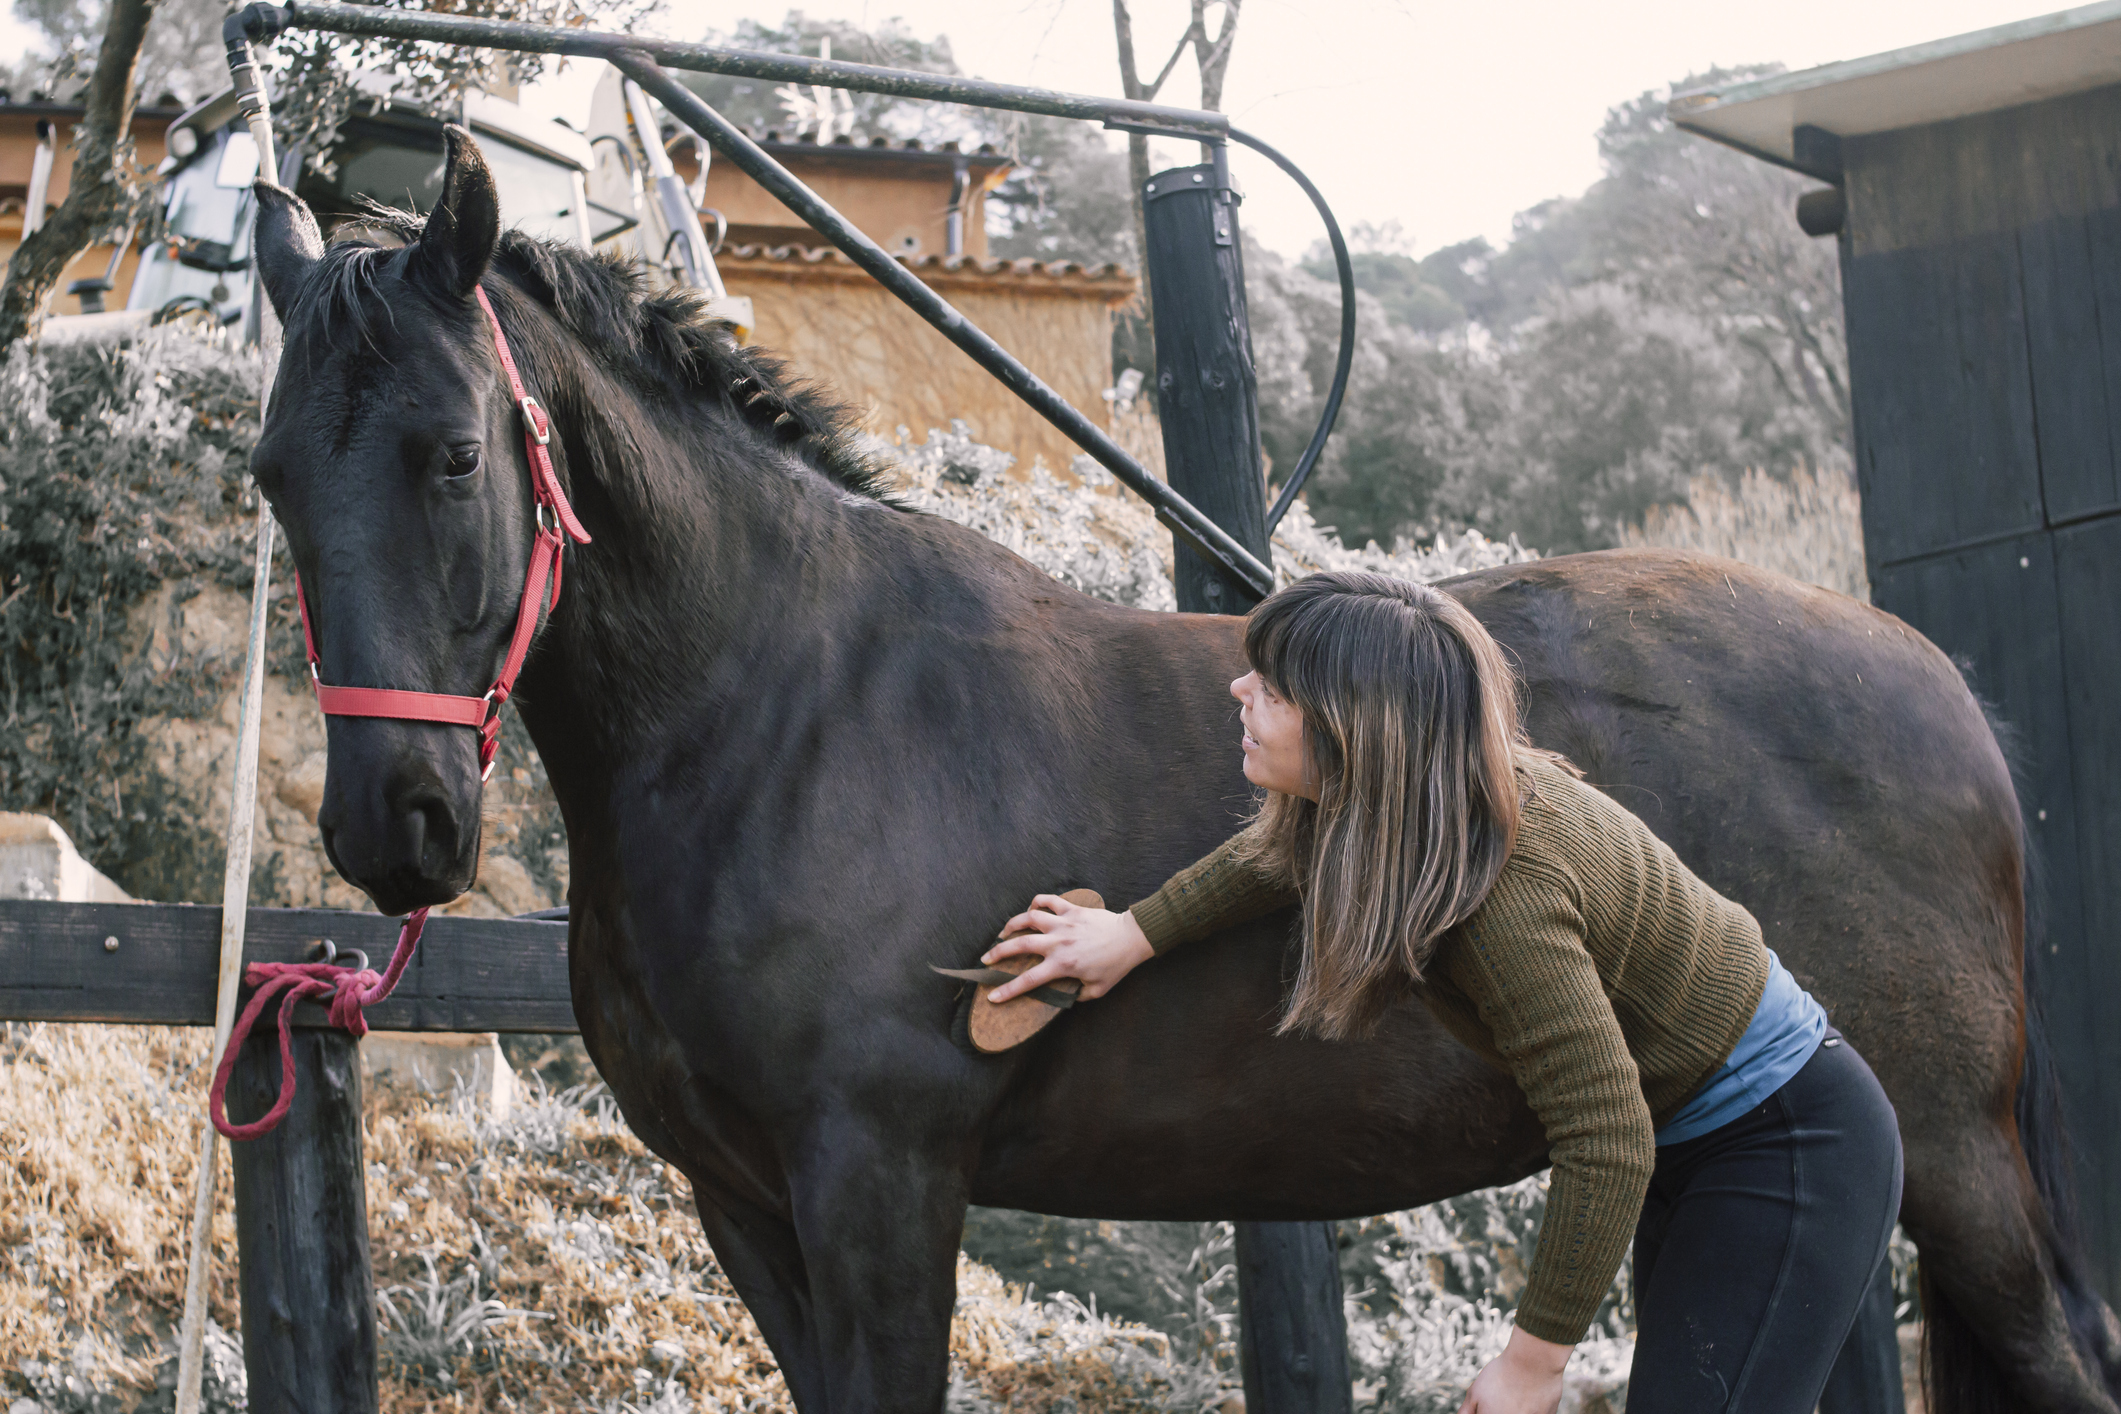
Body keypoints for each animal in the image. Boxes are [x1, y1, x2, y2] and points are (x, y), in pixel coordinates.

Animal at [242, 127, 2120, 1413]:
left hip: (1950, 1169)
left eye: (451, 452)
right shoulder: (745, 1204)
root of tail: (1937, 690)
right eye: (270, 474)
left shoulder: (881, 1185)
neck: (789, 709)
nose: (396, 822)